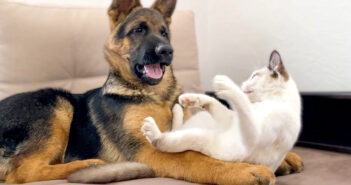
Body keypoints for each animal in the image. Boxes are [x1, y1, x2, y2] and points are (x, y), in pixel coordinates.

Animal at [142, 50, 302, 172]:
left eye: (253, 76)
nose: (242, 83)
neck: (272, 100)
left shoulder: (253, 134)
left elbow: (240, 101)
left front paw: (224, 83)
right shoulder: (231, 119)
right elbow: (214, 102)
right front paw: (191, 99)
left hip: (197, 138)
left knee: (162, 141)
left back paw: (151, 129)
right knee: (175, 127)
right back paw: (177, 107)